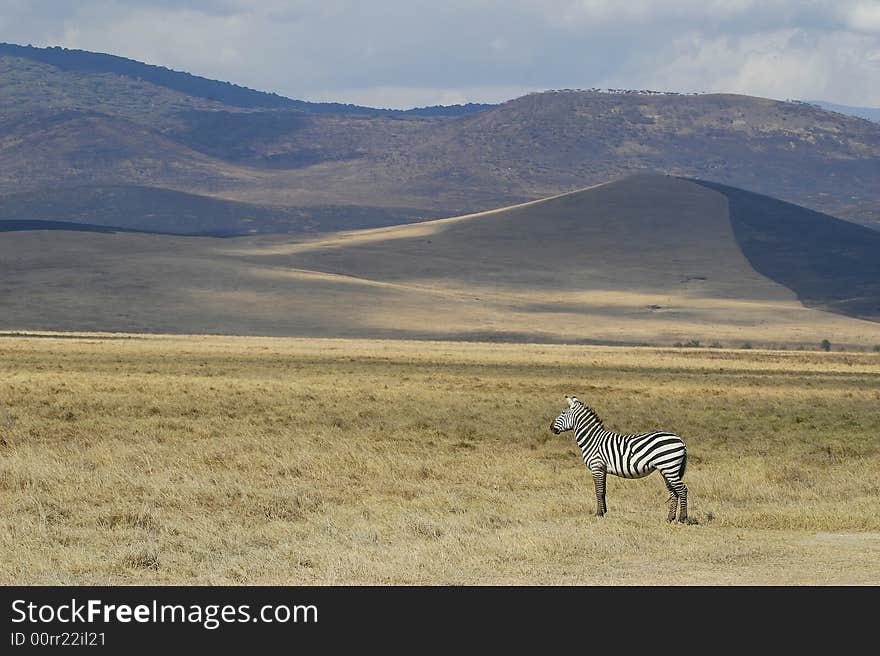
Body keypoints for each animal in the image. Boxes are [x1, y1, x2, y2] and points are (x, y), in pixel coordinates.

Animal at [552, 394, 688, 524]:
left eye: (563, 413)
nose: (550, 427)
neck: (593, 440)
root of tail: (680, 440)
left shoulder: (596, 467)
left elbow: (598, 491)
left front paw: (598, 514)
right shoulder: (602, 469)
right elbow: (603, 491)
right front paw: (604, 511)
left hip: (669, 467)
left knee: (682, 490)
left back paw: (683, 519)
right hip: (667, 468)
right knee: (673, 492)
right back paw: (670, 518)